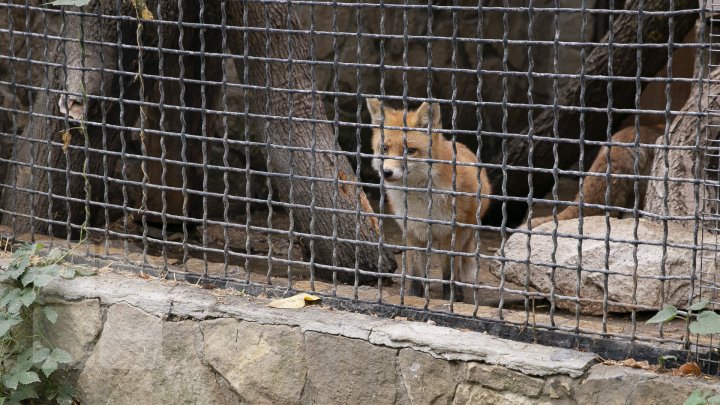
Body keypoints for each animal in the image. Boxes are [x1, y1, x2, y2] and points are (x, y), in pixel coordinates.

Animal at [366, 98, 496, 300]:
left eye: (410, 150)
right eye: (384, 148)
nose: (386, 172)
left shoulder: (449, 232)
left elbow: (449, 272)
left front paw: (452, 297)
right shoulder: (412, 231)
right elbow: (415, 271)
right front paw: (414, 295)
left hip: (466, 230)